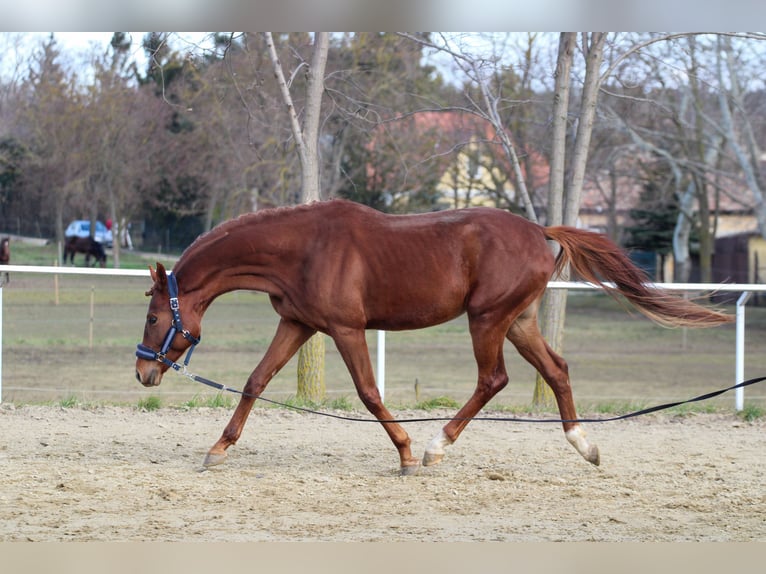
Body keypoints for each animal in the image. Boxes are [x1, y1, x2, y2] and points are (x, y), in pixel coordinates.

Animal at [135, 200, 736, 474]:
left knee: (494, 379)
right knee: (557, 369)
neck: (304, 247)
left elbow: (369, 393)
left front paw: (403, 452)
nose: (142, 370)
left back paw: (434, 446)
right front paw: (217, 449)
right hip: (519, 321)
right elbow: (257, 381)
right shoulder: (298, 324)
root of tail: (540, 232)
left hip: (487, 319)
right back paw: (583, 444)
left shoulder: (347, 329)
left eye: (152, 318)